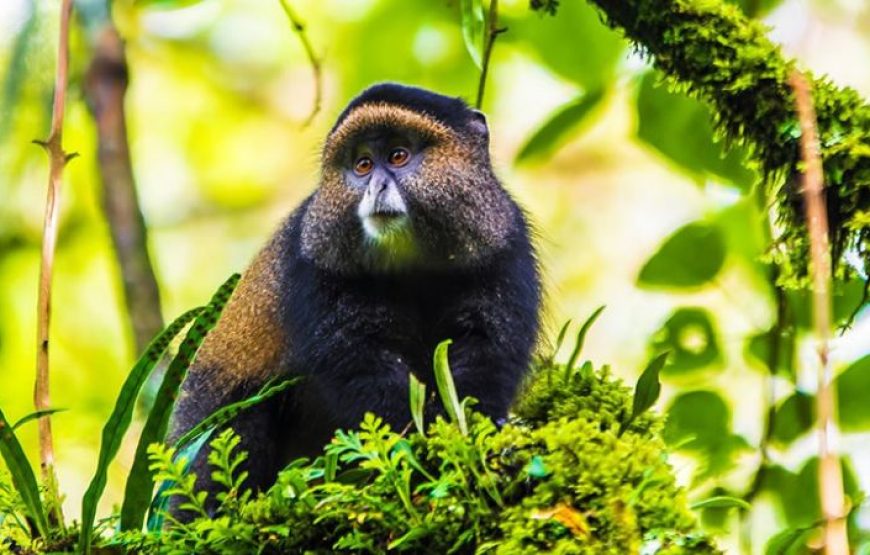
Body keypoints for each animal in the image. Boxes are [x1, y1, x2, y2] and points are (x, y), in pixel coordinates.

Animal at [167, 83, 542, 511]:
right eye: (362, 165)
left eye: (398, 156)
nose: (376, 187)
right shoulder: (315, 266)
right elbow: (360, 364)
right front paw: (416, 443)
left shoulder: (504, 248)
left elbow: (486, 349)